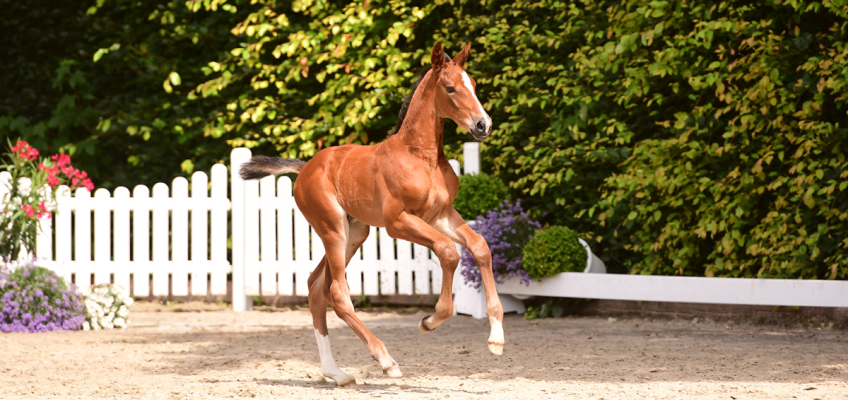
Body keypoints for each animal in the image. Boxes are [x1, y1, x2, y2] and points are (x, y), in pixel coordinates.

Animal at [238, 42, 504, 386]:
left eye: (472, 84)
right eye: (450, 88)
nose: (483, 125)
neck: (421, 156)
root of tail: (306, 167)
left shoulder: (441, 215)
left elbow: (480, 247)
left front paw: (496, 339)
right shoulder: (397, 222)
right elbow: (448, 252)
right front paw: (429, 320)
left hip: (356, 232)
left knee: (315, 286)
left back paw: (336, 373)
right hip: (333, 229)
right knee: (337, 291)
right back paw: (386, 361)